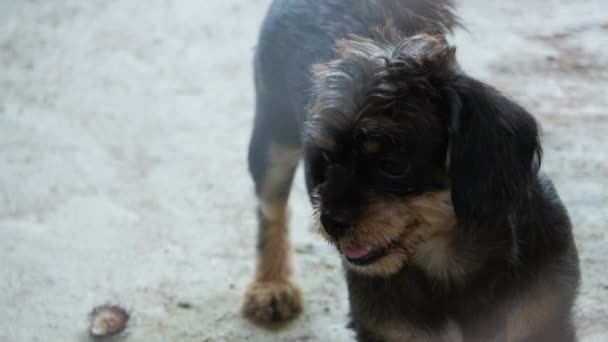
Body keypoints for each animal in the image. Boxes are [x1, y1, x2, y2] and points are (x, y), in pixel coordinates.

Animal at [241, 0, 580, 340]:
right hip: (272, 139)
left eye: (393, 165)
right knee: (271, 207)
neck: (452, 260)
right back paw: (271, 285)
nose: (330, 221)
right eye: (326, 157)